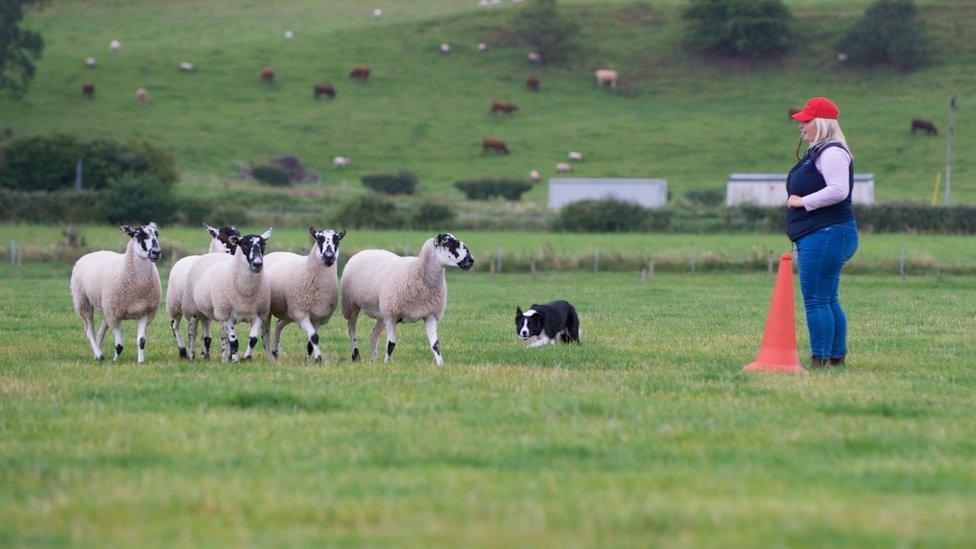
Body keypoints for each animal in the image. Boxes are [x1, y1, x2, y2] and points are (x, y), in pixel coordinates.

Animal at [70, 220, 162, 362]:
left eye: (157, 234)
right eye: (138, 235)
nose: (156, 252)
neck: (138, 287)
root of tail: (90, 254)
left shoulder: (145, 312)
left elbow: (141, 341)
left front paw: (141, 361)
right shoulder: (115, 316)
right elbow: (119, 345)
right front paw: (115, 361)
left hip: (106, 307)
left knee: (100, 331)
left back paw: (98, 352)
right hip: (83, 301)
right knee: (90, 330)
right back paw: (99, 354)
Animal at [165, 224, 239, 358]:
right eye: (221, 236)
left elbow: (222, 335)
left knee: (206, 334)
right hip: (175, 304)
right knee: (174, 325)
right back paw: (182, 350)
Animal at [183, 229, 272, 362]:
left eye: (263, 245)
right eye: (244, 245)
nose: (257, 264)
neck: (246, 290)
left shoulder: (259, 314)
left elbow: (253, 339)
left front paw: (246, 358)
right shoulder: (226, 316)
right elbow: (234, 341)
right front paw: (235, 360)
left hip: (206, 311)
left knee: (210, 334)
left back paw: (213, 357)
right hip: (193, 308)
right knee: (192, 333)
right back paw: (192, 357)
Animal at [264, 226, 346, 360]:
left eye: (337, 241)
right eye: (319, 240)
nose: (329, 257)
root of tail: (272, 253)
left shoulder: (317, 317)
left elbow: (311, 341)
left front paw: (308, 360)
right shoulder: (301, 313)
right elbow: (314, 337)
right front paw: (318, 359)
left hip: (288, 312)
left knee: (279, 325)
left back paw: (275, 352)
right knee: (265, 333)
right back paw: (270, 356)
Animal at [340, 231, 472, 364]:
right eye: (449, 242)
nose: (471, 260)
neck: (416, 270)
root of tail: (363, 251)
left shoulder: (430, 314)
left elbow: (435, 344)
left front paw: (441, 364)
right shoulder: (392, 316)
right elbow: (391, 344)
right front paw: (387, 364)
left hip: (382, 313)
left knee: (373, 335)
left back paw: (373, 361)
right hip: (351, 304)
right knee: (352, 329)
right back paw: (356, 356)